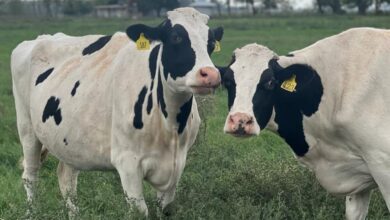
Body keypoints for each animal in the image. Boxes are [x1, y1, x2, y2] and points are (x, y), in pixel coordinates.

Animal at [10, 7, 224, 217]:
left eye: (211, 42)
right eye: (176, 37)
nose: (210, 74)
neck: (169, 125)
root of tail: (43, 37)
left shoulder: (176, 164)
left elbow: (166, 209)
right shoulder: (127, 162)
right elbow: (140, 211)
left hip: (69, 141)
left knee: (66, 178)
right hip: (26, 128)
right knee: (30, 174)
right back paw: (33, 212)